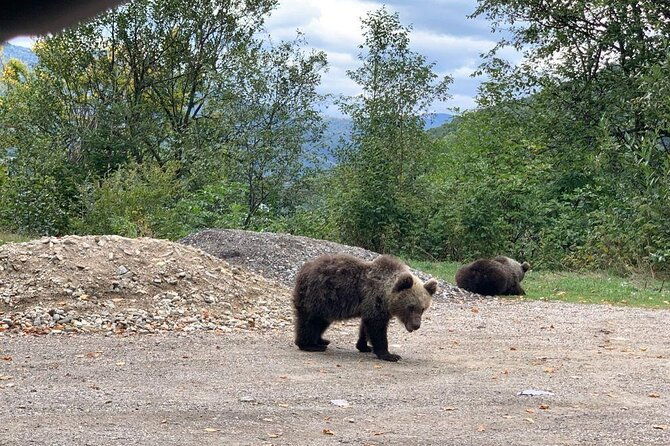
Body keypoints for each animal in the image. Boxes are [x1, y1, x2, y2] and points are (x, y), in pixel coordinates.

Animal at [292, 253, 438, 362]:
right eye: (410, 307)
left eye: (423, 308)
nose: (416, 325)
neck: (386, 295)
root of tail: (303, 270)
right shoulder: (375, 301)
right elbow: (377, 328)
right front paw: (390, 355)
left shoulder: (370, 305)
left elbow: (365, 326)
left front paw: (364, 346)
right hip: (319, 296)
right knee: (310, 321)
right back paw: (309, 345)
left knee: (321, 322)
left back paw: (321, 340)